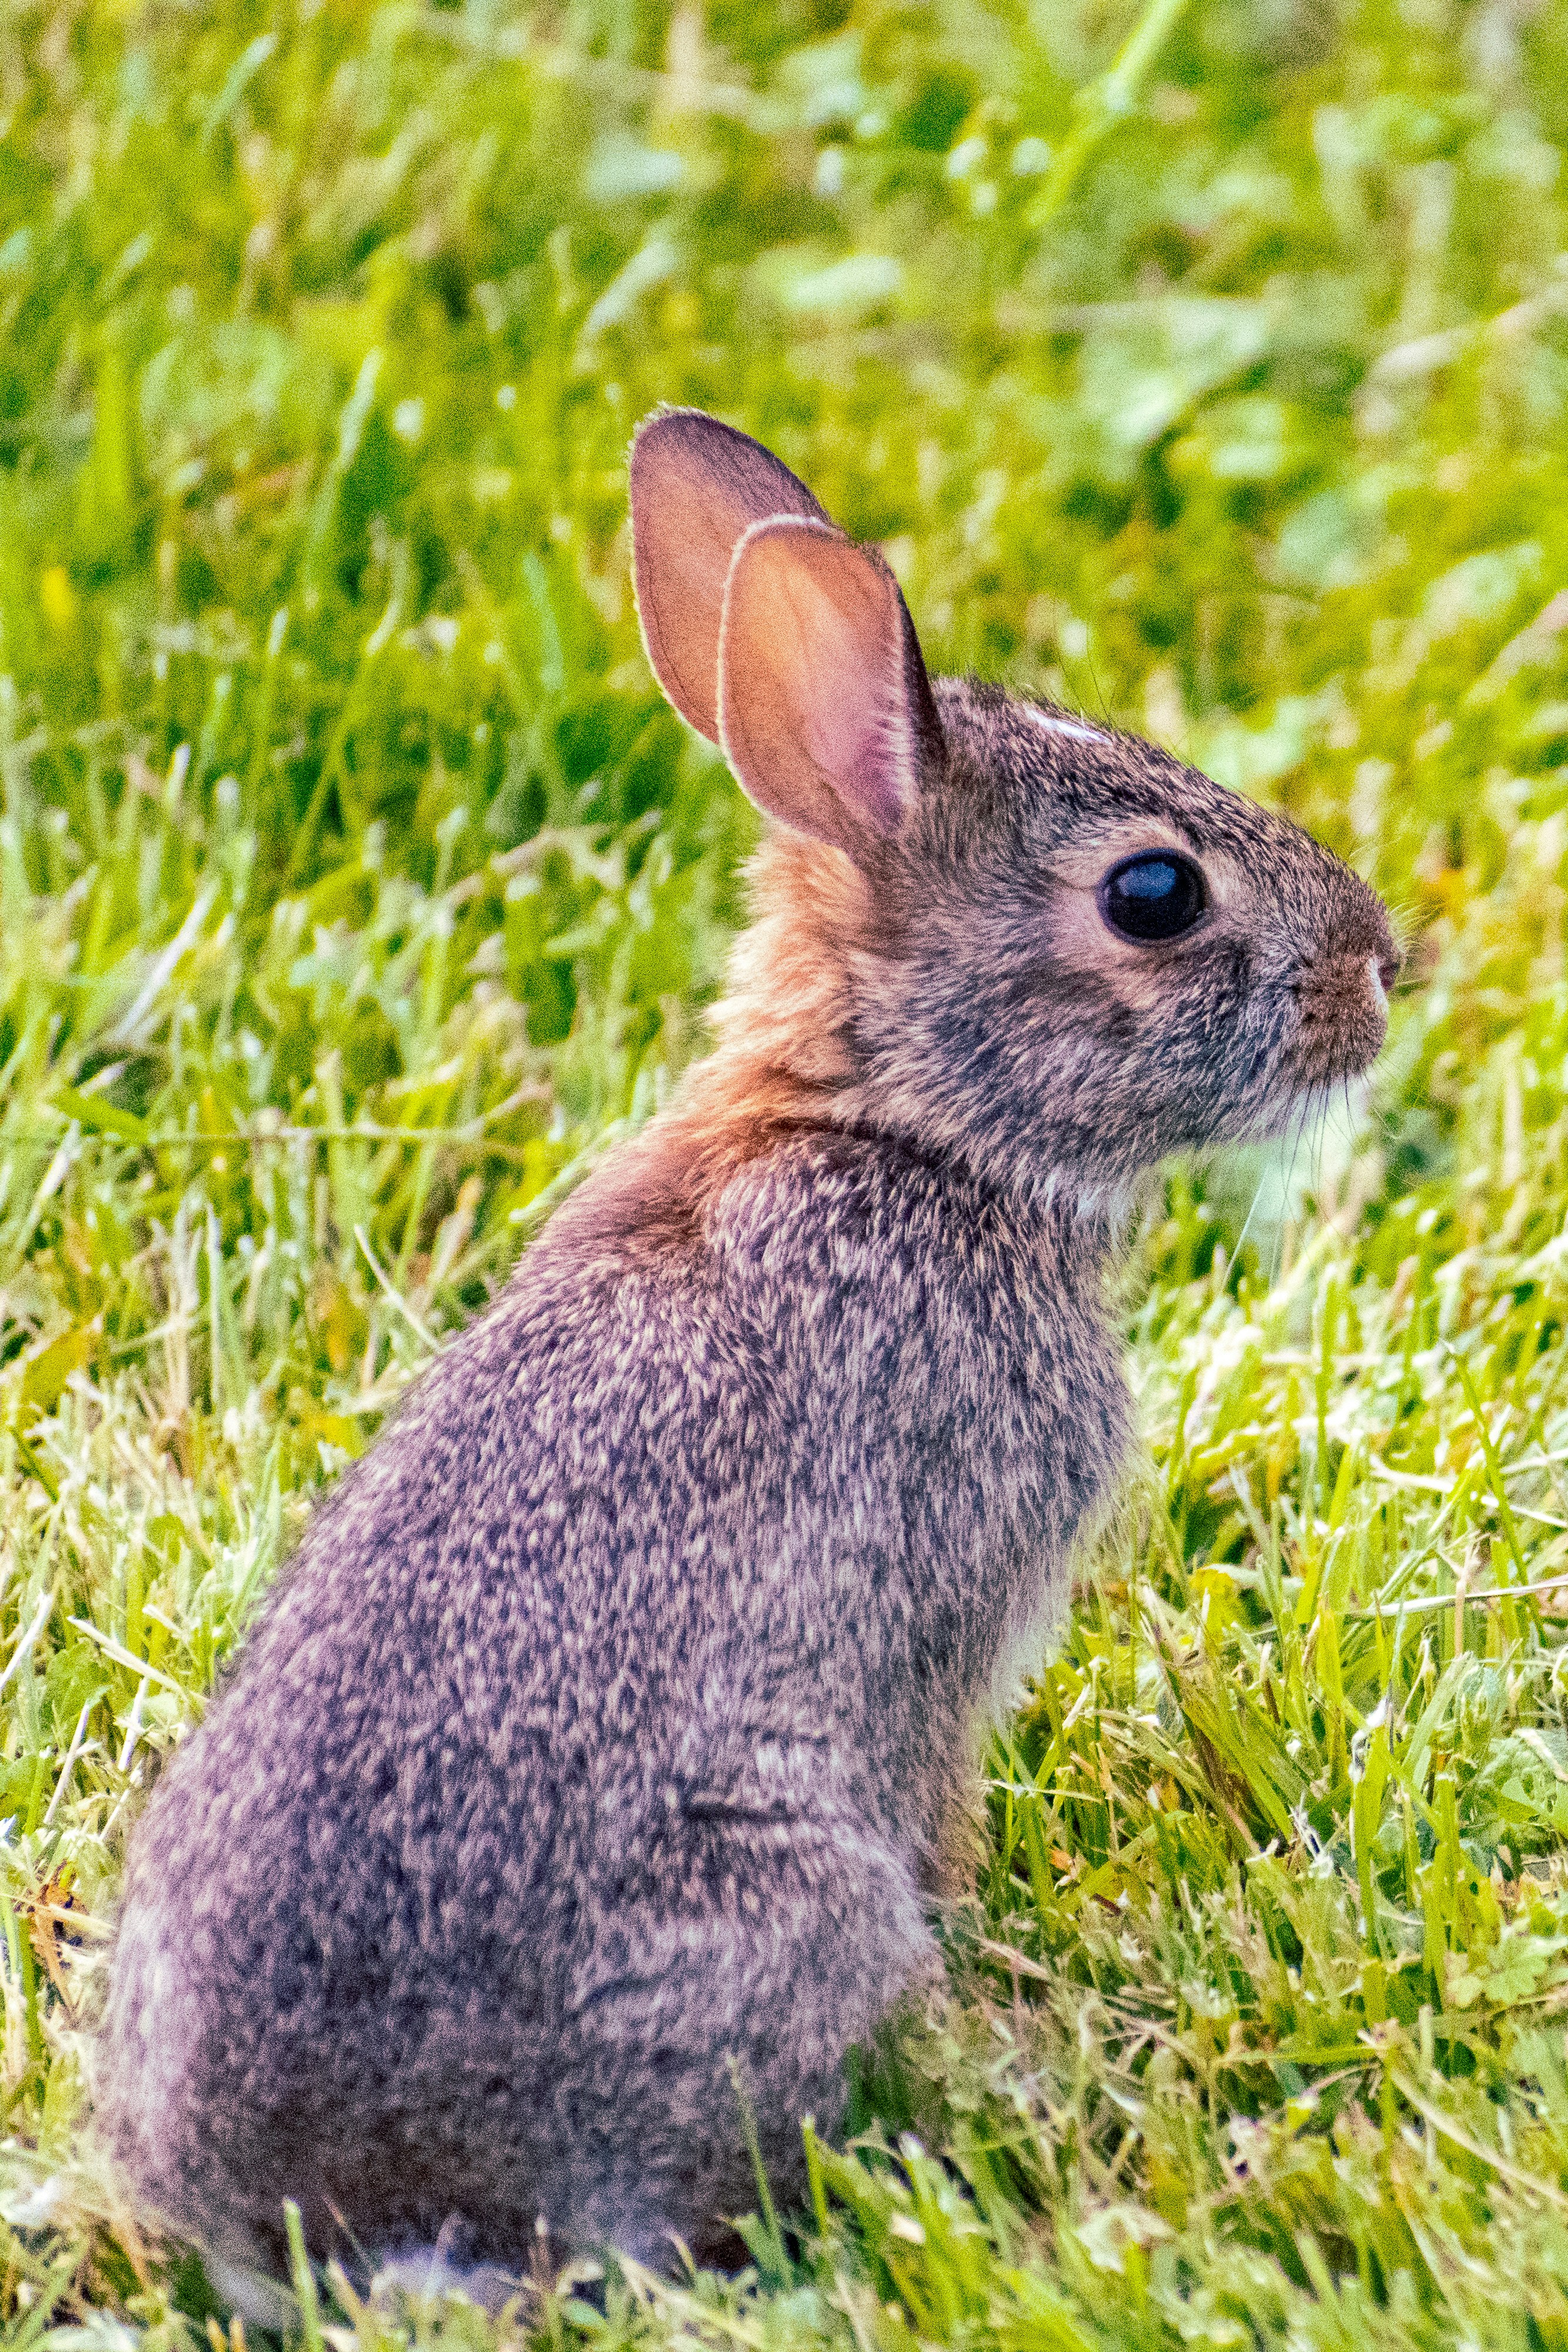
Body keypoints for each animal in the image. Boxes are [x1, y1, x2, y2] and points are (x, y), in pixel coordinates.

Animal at [97, 409, 1398, 2308]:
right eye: (1155, 893)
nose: (1380, 971)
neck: (900, 1129)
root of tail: (319, 2212)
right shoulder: (942, 1630)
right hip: (773, 1900)